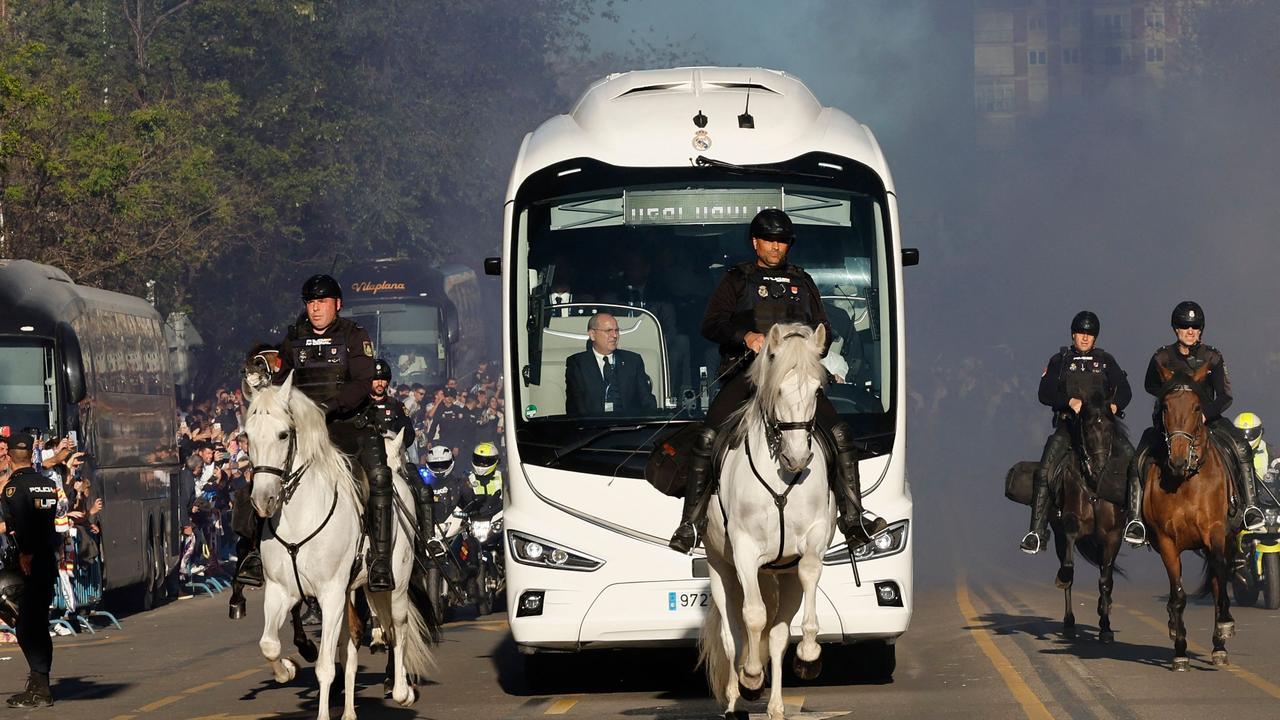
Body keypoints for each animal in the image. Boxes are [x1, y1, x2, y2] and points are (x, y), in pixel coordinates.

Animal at [241, 371, 432, 717]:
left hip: (394, 584)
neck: (300, 516)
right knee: (355, 642)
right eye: (247, 435)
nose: (263, 501)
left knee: (398, 628)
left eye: (283, 434)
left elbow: (326, 667)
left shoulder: (330, 594)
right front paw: (287, 669)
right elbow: (270, 645)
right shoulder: (281, 590)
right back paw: (351, 709)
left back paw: (401, 691)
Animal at [696, 322, 834, 712]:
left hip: (781, 577)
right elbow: (752, 617)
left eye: (818, 389)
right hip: (721, 570)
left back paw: (775, 708)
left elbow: (808, 574)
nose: (798, 458)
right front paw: (751, 677)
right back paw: (735, 695)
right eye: (779, 388)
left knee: (776, 635)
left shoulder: (813, 538)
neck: (782, 478)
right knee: (732, 633)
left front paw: (809, 654)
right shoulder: (744, 550)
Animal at [1054, 389, 1126, 640]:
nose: (1100, 467)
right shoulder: (1070, 524)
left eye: (1110, 428)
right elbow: (1069, 565)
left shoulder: (1112, 536)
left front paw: (1105, 627)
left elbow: (1106, 580)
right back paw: (1068, 621)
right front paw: (1063, 576)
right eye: (1086, 428)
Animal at [1146, 361, 1233, 671]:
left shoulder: (1215, 531)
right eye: (1165, 407)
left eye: (1197, 407)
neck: (1186, 481)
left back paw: (1220, 646)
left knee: (1219, 580)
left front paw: (1225, 625)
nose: (1178, 459)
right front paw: (1180, 649)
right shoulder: (1166, 541)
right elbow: (1179, 593)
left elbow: (1220, 575)